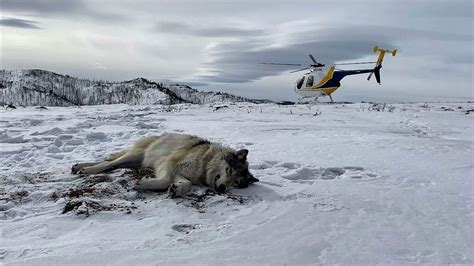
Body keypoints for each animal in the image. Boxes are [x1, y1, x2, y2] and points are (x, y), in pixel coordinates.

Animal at [71, 133, 260, 197]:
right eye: (229, 170)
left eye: (237, 183)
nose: (221, 188)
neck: (205, 162)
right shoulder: (169, 164)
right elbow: (165, 180)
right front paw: (143, 184)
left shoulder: (179, 173)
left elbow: (186, 183)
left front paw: (177, 189)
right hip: (136, 155)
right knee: (108, 163)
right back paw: (86, 169)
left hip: (135, 160)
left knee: (110, 163)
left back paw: (78, 166)